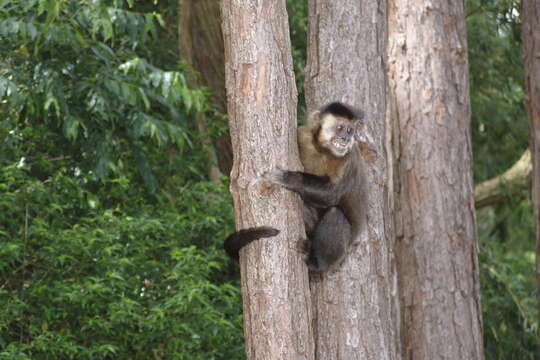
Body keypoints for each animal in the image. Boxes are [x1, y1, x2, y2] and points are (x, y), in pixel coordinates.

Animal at [224, 101, 368, 270]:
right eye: (340, 128)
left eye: (350, 130)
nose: (345, 138)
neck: (323, 150)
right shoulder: (303, 135)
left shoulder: (348, 158)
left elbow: (332, 194)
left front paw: (286, 178)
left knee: (335, 214)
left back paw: (317, 263)